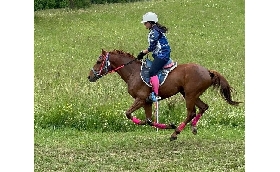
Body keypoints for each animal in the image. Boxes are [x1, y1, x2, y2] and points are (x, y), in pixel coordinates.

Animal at [87, 49, 241, 140]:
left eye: (99, 61)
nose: (90, 76)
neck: (133, 72)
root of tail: (208, 71)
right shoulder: (147, 102)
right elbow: (149, 120)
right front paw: (167, 125)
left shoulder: (141, 99)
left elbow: (128, 114)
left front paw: (171, 127)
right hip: (189, 94)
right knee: (204, 107)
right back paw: (192, 127)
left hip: (190, 95)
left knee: (191, 112)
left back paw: (176, 133)